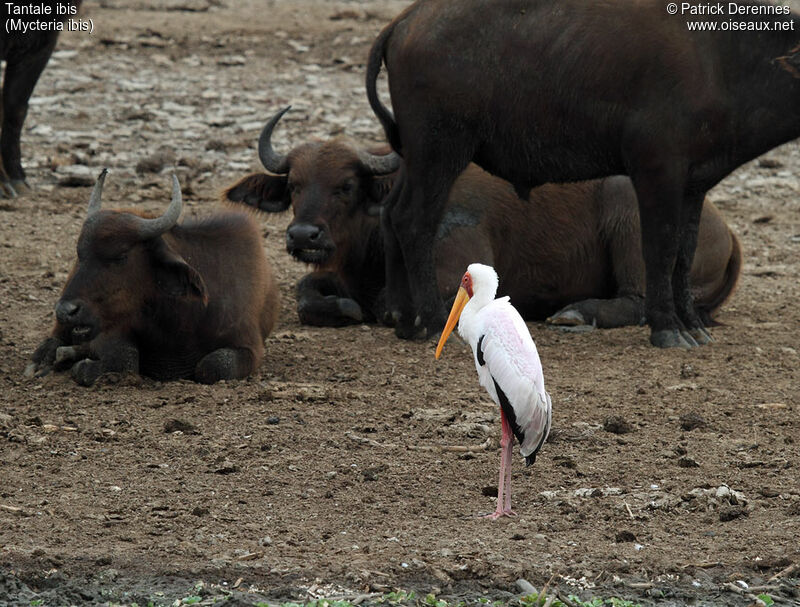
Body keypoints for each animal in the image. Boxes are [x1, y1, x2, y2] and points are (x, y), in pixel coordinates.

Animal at [28, 171, 280, 388]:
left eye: (121, 256)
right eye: (80, 254)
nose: (66, 310)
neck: (179, 321)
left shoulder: (249, 347)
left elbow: (212, 366)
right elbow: (126, 358)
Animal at [222, 110, 740, 332]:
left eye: (346, 185)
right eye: (293, 185)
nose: (303, 235)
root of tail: (728, 232)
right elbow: (306, 291)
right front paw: (342, 308)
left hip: (626, 212)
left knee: (636, 300)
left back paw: (574, 313)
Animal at [368, 0, 800, 346]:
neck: (721, 60)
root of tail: (406, 20)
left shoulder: (693, 185)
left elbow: (684, 251)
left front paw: (692, 324)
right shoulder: (656, 173)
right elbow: (660, 249)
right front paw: (668, 328)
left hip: (416, 159)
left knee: (391, 213)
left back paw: (402, 316)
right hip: (439, 152)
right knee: (414, 221)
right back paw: (431, 320)